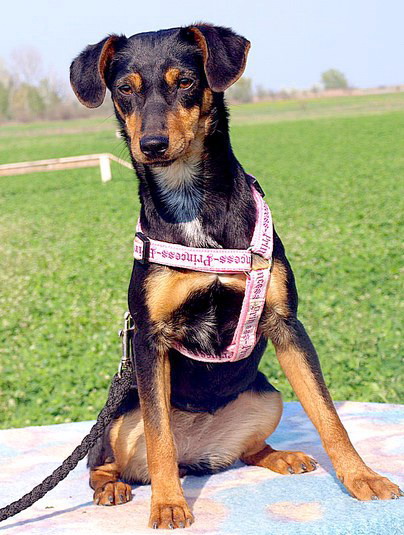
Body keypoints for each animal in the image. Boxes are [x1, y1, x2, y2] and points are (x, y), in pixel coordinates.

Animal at [70, 24, 402, 529]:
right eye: (124, 89)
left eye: (186, 81)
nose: (152, 144)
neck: (190, 201)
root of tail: (197, 455)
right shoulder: (149, 339)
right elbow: (159, 437)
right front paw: (168, 505)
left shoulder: (286, 324)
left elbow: (328, 416)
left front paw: (362, 478)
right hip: (121, 418)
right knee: (107, 461)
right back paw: (114, 487)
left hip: (267, 396)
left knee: (246, 451)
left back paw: (282, 456)